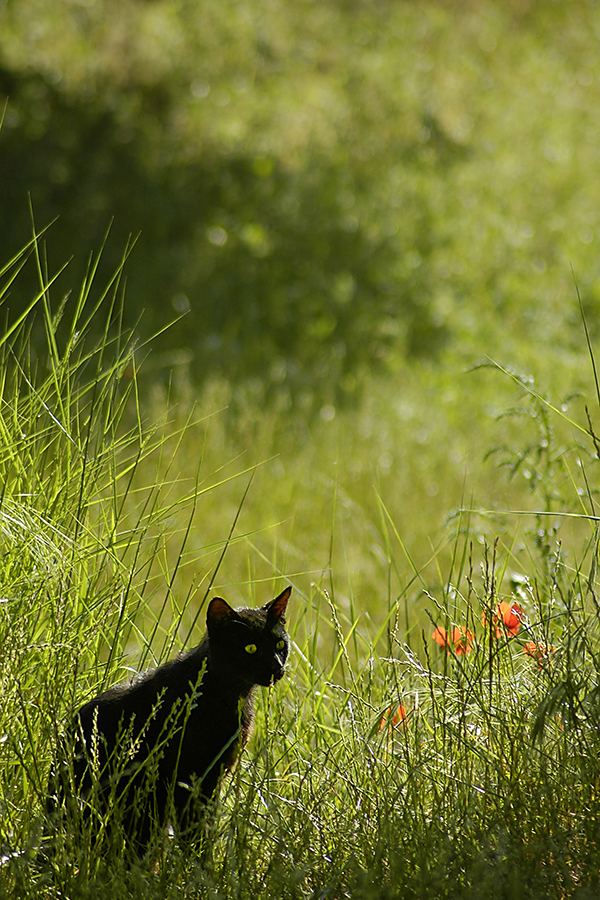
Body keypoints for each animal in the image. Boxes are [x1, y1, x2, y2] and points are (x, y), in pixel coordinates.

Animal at [47, 588, 290, 856]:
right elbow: (196, 837)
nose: (276, 667)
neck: (229, 695)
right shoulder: (189, 782)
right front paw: (201, 865)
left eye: (280, 644)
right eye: (250, 648)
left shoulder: (211, 781)